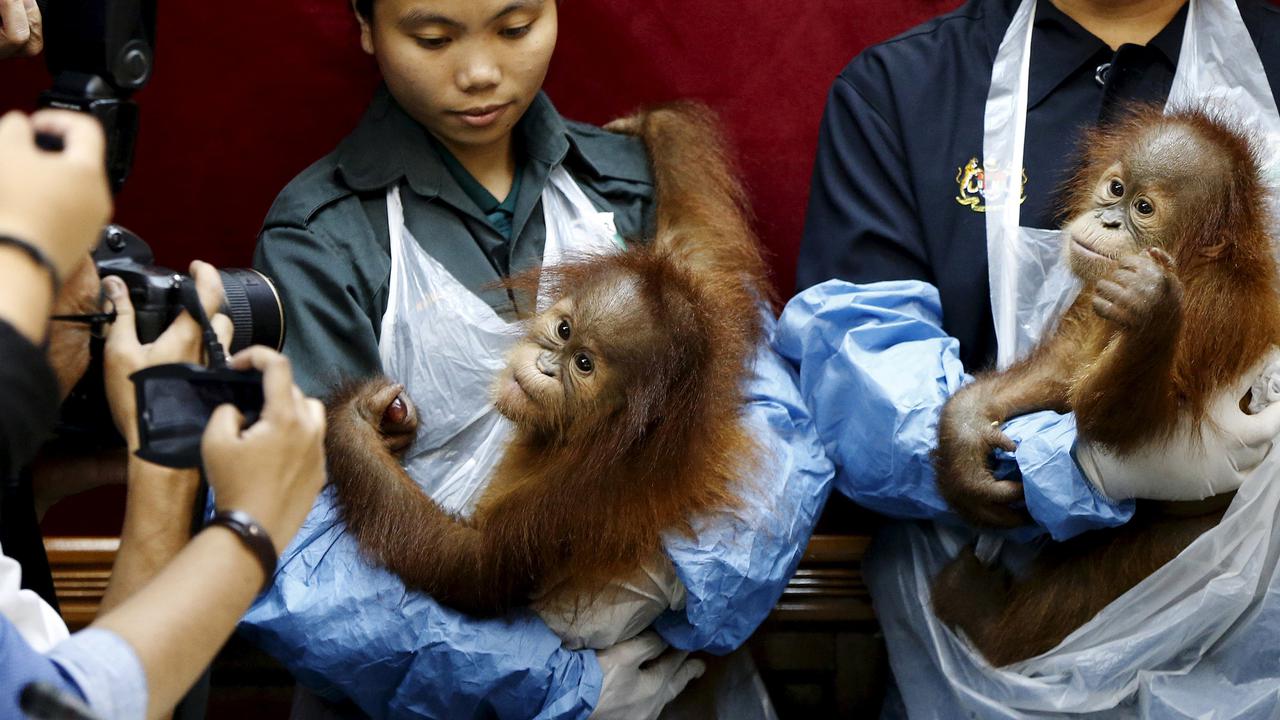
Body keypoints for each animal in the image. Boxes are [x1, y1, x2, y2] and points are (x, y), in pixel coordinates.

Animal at [323, 103, 770, 618]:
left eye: (583, 365)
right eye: (564, 331)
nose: (545, 367)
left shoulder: (579, 493)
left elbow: (472, 561)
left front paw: (356, 417)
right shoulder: (702, 302)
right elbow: (699, 239)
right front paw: (647, 125)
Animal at [929, 107, 1280, 666]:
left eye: (1143, 207)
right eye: (1115, 188)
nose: (1109, 220)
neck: (1188, 261)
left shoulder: (1214, 308)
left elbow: (1127, 429)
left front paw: (1152, 312)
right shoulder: (1097, 289)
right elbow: (1067, 368)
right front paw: (964, 437)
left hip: (1192, 540)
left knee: (1089, 589)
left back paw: (983, 617)